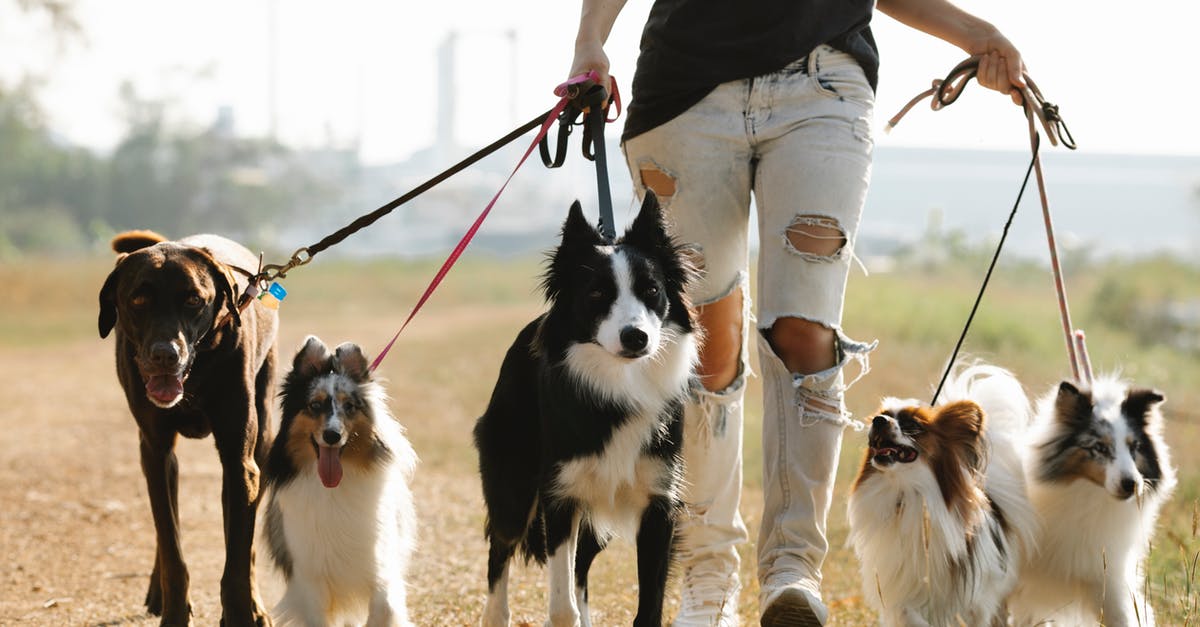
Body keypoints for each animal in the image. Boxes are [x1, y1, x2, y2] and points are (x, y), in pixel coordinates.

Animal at [99, 230, 277, 624]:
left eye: (194, 299)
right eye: (138, 299)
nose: (165, 354)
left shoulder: (240, 462)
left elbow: (238, 560)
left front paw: (241, 614)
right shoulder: (156, 451)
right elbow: (171, 547)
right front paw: (175, 613)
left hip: (262, 441)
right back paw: (158, 591)